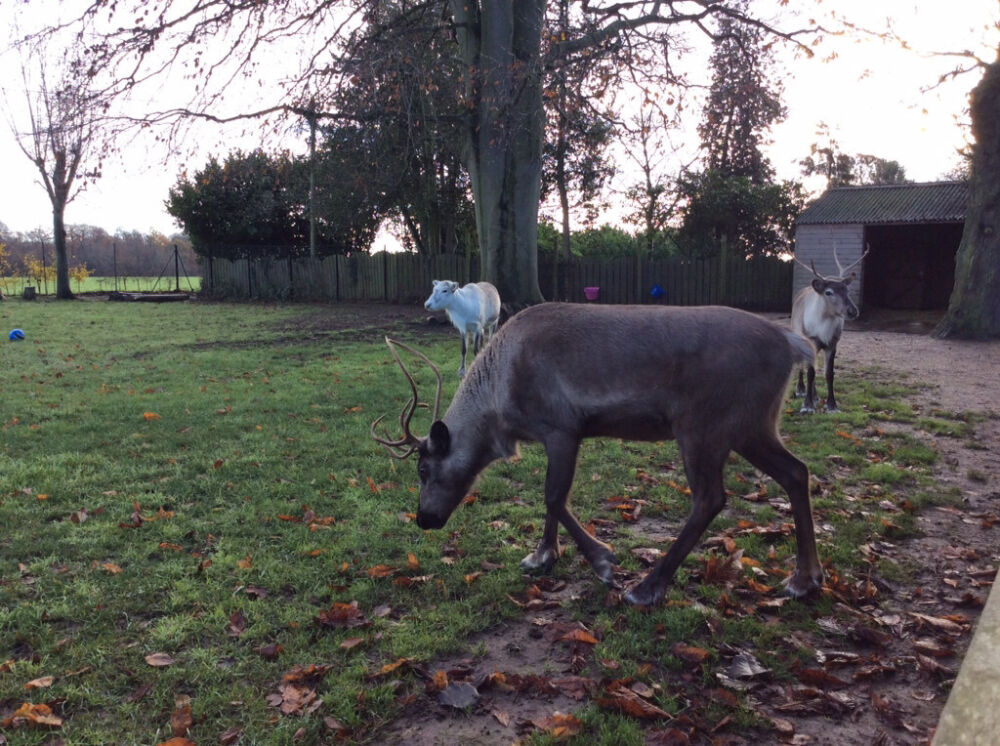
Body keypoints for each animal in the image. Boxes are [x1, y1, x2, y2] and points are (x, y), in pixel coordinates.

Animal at [372, 302, 824, 607]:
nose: (424, 519)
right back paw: (805, 578)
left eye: (424, 468)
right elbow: (551, 502)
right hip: (752, 425)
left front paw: (603, 561)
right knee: (797, 472)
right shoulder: (559, 434)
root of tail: (793, 344)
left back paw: (647, 587)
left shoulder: (562, 427)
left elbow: (554, 497)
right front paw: (543, 555)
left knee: (710, 497)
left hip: (702, 425)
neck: (499, 402)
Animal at [791, 244, 868, 413]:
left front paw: (832, 405)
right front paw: (807, 406)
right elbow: (811, 372)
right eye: (829, 292)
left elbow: (828, 373)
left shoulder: (832, 343)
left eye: (847, 290)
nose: (853, 311)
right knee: (803, 366)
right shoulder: (812, 340)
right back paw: (801, 390)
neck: (824, 328)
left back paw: (814, 395)